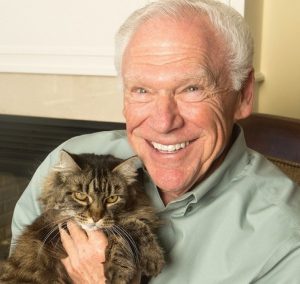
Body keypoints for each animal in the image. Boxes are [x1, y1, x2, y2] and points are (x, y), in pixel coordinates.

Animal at [0, 150, 164, 282]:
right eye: (81, 196)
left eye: (112, 198)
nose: (96, 218)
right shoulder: (59, 225)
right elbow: (123, 230)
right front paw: (121, 271)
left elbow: (133, 225)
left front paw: (152, 256)